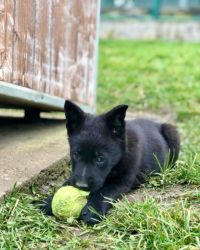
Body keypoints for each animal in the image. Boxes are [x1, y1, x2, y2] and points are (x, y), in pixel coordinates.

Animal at [40, 99, 180, 225]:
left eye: (100, 158)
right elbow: (67, 182)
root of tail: (156, 123)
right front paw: (49, 201)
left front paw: (92, 210)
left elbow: (105, 192)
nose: (81, 186)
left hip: (172, 133)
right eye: (76, 155)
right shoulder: (75, 174)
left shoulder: (123, 181)